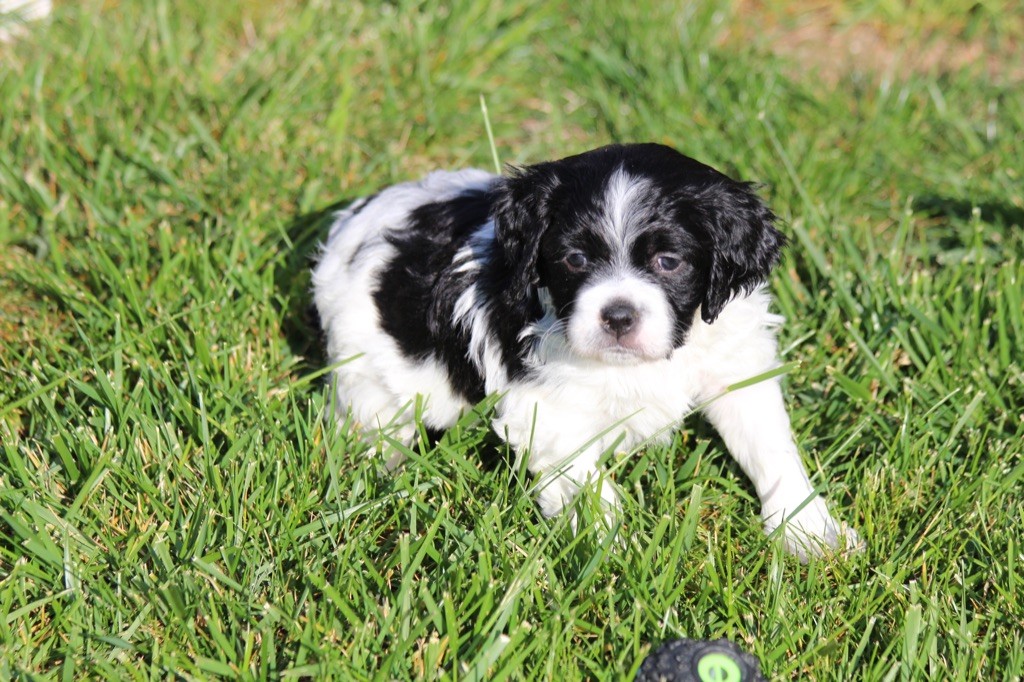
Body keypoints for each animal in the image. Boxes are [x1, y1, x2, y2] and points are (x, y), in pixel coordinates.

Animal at [313, 143, 860, 559]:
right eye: (574, 259)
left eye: (669, 261)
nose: (618, 316)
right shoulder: (546, 410)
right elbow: (588, 485)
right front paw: (618, 553)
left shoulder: (736, 365)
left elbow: (769, 446)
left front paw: (810, 533)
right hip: (367, 371)